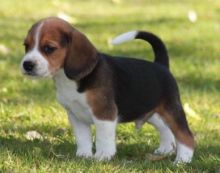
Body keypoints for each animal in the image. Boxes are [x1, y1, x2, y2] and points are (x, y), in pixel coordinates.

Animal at [20, 17, 194, 164]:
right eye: (26, 46)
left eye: (49, 48)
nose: (27, 65)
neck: (68, 80)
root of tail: (160, 64)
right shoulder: (76, 116)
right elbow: (83, 138)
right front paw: (83, 156)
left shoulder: (104, 113)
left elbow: (103, 138)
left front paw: (102, 156)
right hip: (152, 111)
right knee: (165, 129)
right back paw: (165, 149)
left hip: (171, 110)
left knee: (186, 136)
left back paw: (181, 161)